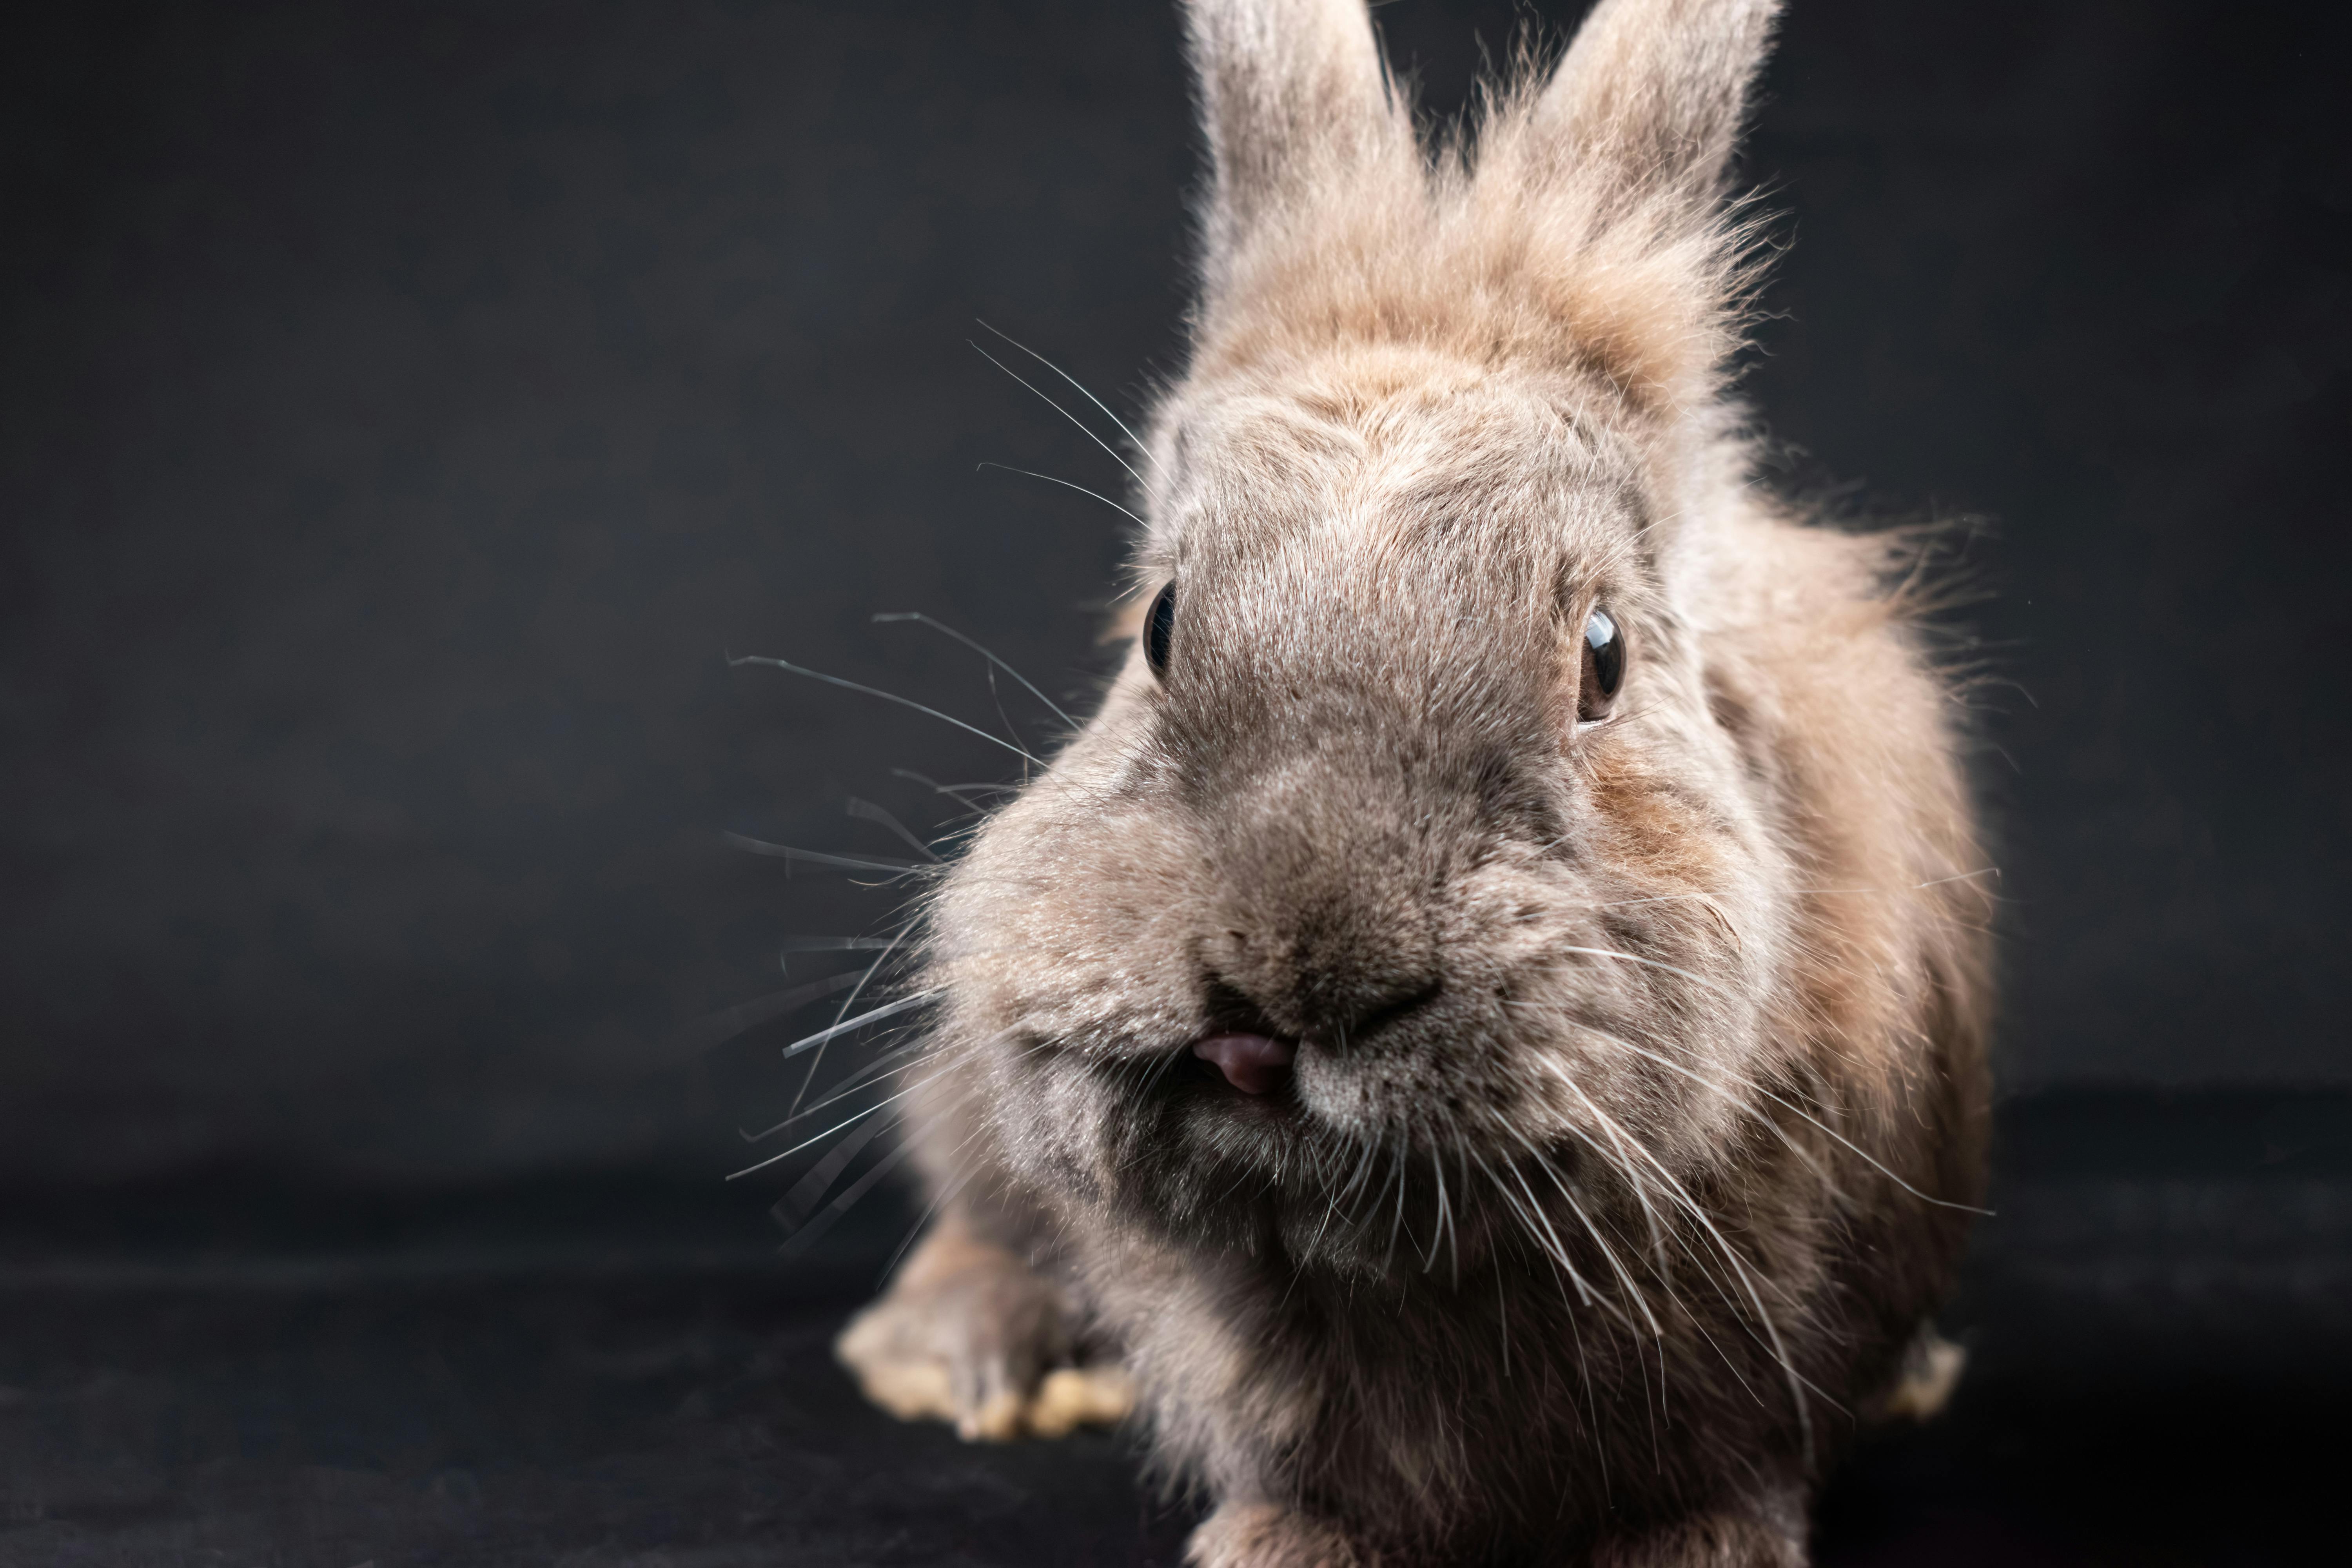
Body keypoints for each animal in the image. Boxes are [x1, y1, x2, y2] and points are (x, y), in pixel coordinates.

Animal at [837, 3, 1994, 1568]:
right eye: (1158, 626)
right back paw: (969, 1360)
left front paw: (1694, 1548)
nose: (1271, 1006)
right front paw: (1271, 1544)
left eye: (1600, 653)